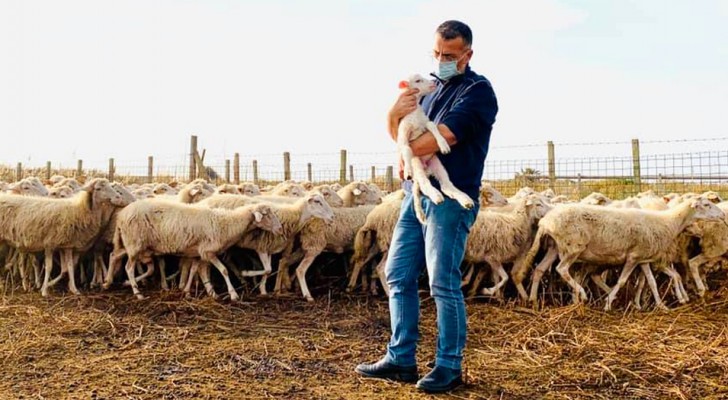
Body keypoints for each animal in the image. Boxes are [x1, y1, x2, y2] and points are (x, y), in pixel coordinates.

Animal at [110, 200, 282, 300]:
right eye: (266, 214)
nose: (280, 228)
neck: (226, 224)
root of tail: (122, 215)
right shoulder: (208, 252)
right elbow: (223, 270)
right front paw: (233, 294)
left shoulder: (199, 253)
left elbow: (195, 270)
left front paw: (195, 292)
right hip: (135, 244)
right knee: (128, 267)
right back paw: (137, 293)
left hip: (133, 245)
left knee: (116, 256)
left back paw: (116, 282)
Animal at [524, 197, 724, 310]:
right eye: (706, 204)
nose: (722, 215)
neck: (667, 223)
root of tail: (545, 221)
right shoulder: (633, 257)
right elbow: (621, 281)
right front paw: (608, 303)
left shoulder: (643, 258)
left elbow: (651, 282)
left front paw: (661, 305)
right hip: (573, 247)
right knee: (562, 269)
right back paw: (582, 294)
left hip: (554, 247)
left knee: (540, 270)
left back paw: (533, 300)